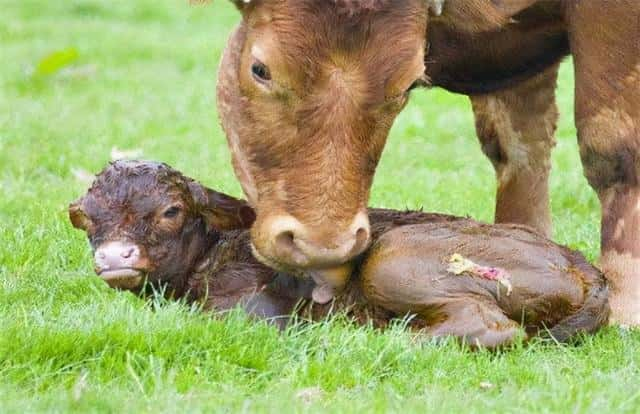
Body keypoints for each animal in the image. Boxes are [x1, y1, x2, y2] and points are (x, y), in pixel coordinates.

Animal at [67, 160, 608, 348]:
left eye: (171, 210)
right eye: (89, 217)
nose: (116, 256)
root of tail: (582, 265)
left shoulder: (254, 311)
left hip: (395, 258)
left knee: (490, 326)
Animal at [214, 0, 640, 326]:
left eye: (406, 85)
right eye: (260, 69)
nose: (322, 247)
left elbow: (612, 147)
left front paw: (624, 307)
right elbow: (518, 144)